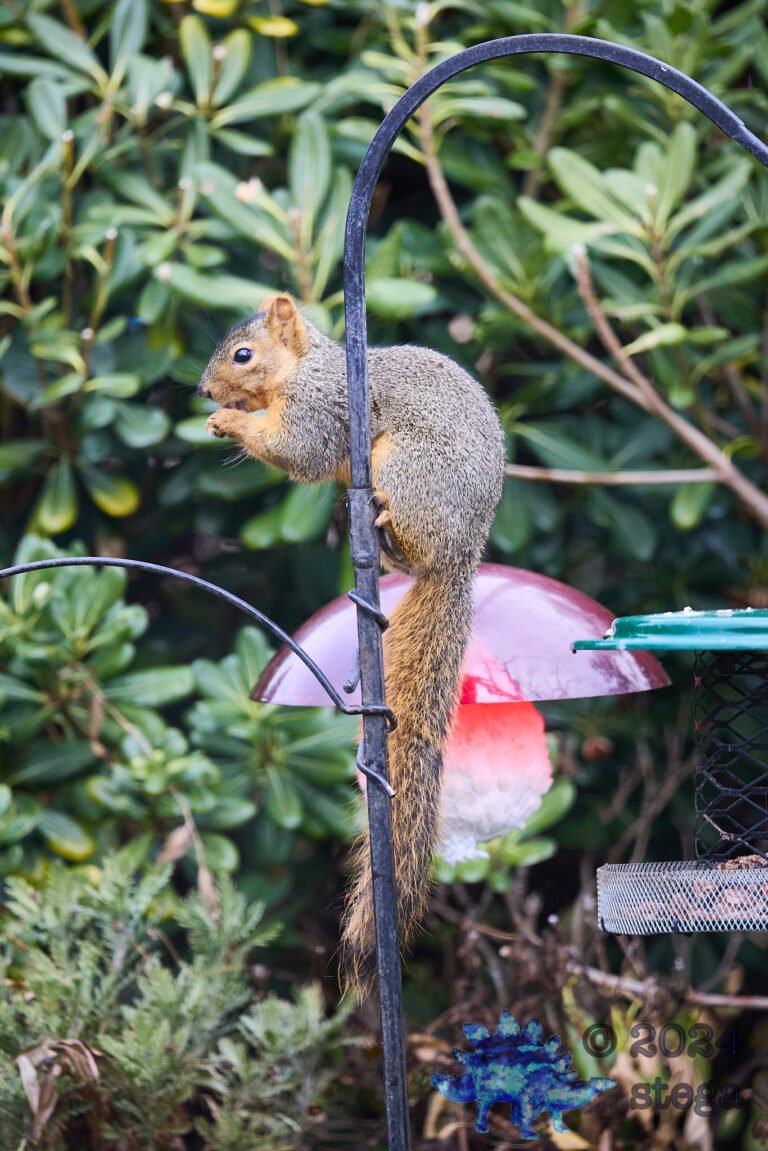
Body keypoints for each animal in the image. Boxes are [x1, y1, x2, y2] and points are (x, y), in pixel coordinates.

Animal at [199, 293, 505, 996]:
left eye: (243, 355)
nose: (204, 389)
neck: (303, 368)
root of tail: (464, 552)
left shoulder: (322, 409)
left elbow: (298, 449)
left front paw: (228, 419)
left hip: (408, 464)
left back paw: (385, 517)